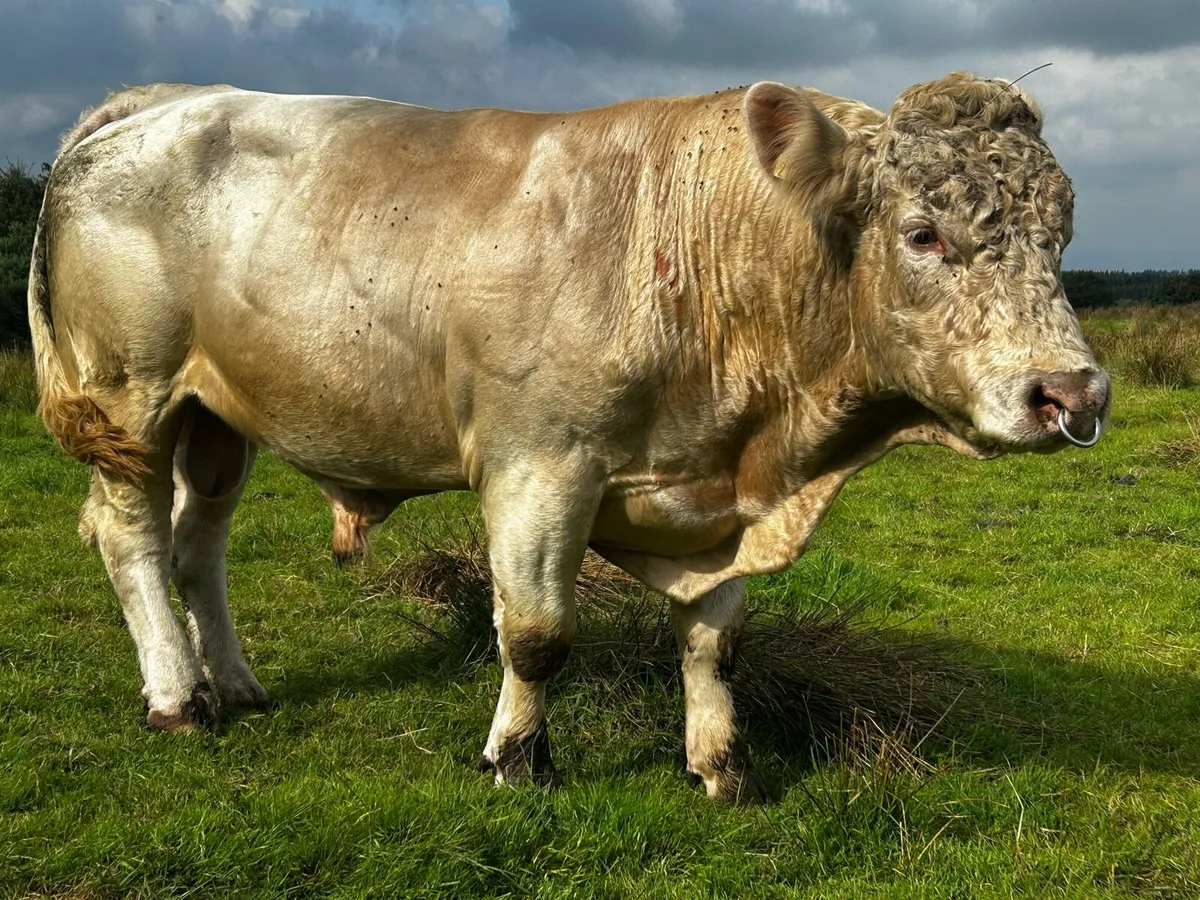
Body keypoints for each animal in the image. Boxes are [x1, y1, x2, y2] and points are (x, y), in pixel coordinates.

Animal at [29, 73, 1110, 804]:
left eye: (1060, 237)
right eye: (923, 232)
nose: (1072, 393)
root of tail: (160, 102)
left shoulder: (714, 498)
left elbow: (715, 642)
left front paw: (721, 767)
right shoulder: (538, 465)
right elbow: (539, 635)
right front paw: (516, 759)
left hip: (216, 417)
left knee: (198, 544)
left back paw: (237, 682)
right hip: (126, 397)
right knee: (131, 537)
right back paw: (179, 697)